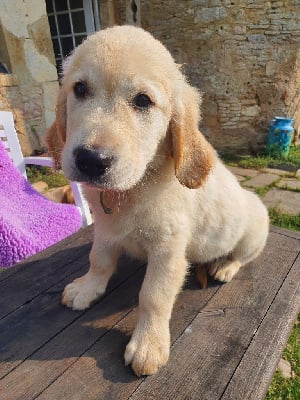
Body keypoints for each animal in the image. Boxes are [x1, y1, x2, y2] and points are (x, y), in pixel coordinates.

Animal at [47, 25, 270, 376]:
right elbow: (99, 260)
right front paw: (87, 288)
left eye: (143, 101)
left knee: (243, 257)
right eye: (79, 89)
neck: (133, 188)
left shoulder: (168, 251)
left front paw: (148, 344)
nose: (91, 160)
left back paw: (225, 267)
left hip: (254, 230)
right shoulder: (105, 231)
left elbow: (153, 296)